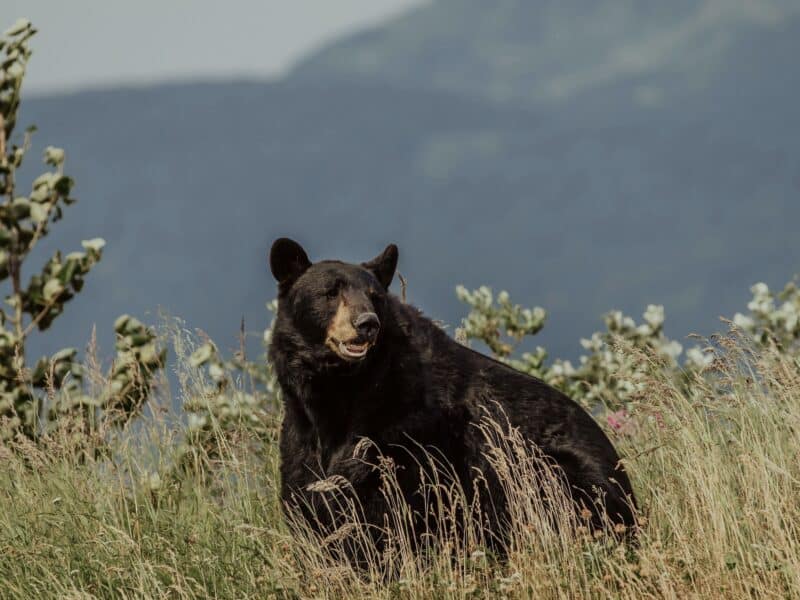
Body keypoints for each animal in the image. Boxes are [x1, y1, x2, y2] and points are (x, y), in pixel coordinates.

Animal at [267, 237, 636, 556]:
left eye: (375, 297)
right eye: (330, 292)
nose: (367, 323)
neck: (341, 389)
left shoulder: (407, 429)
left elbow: (392, 503)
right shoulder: (301, 432)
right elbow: (307, 493)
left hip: (552, 470)